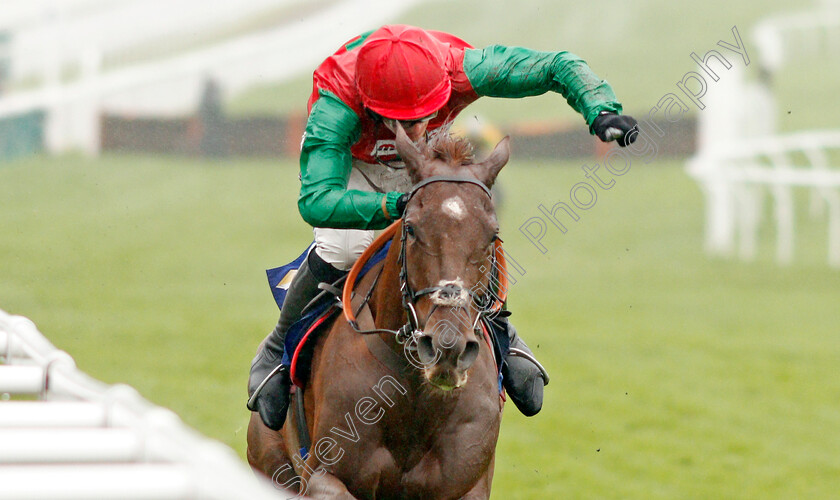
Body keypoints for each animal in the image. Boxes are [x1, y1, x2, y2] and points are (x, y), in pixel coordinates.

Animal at [248, 125, 512, 500]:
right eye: (411, 228)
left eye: (492, 235)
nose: (448, 347)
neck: (414, 392)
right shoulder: (324, 472)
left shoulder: (467, 484)